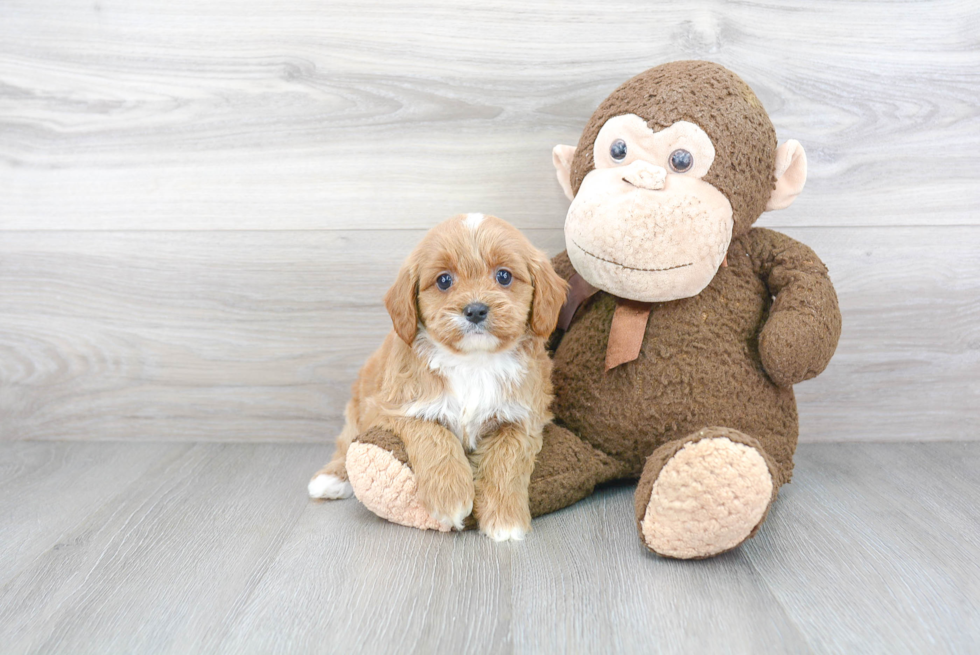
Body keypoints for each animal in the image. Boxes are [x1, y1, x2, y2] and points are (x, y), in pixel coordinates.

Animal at [306, 213, 568, 540]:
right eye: (444, 280)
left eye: (504, 276)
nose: (475, 310)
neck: (474, 362)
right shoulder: (397, 408)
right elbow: (434, 433)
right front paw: (451, 496)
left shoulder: (522, 418)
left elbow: (507, 458)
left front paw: (506, 519)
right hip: (358, 411)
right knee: (346, 443)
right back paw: (331, 478)